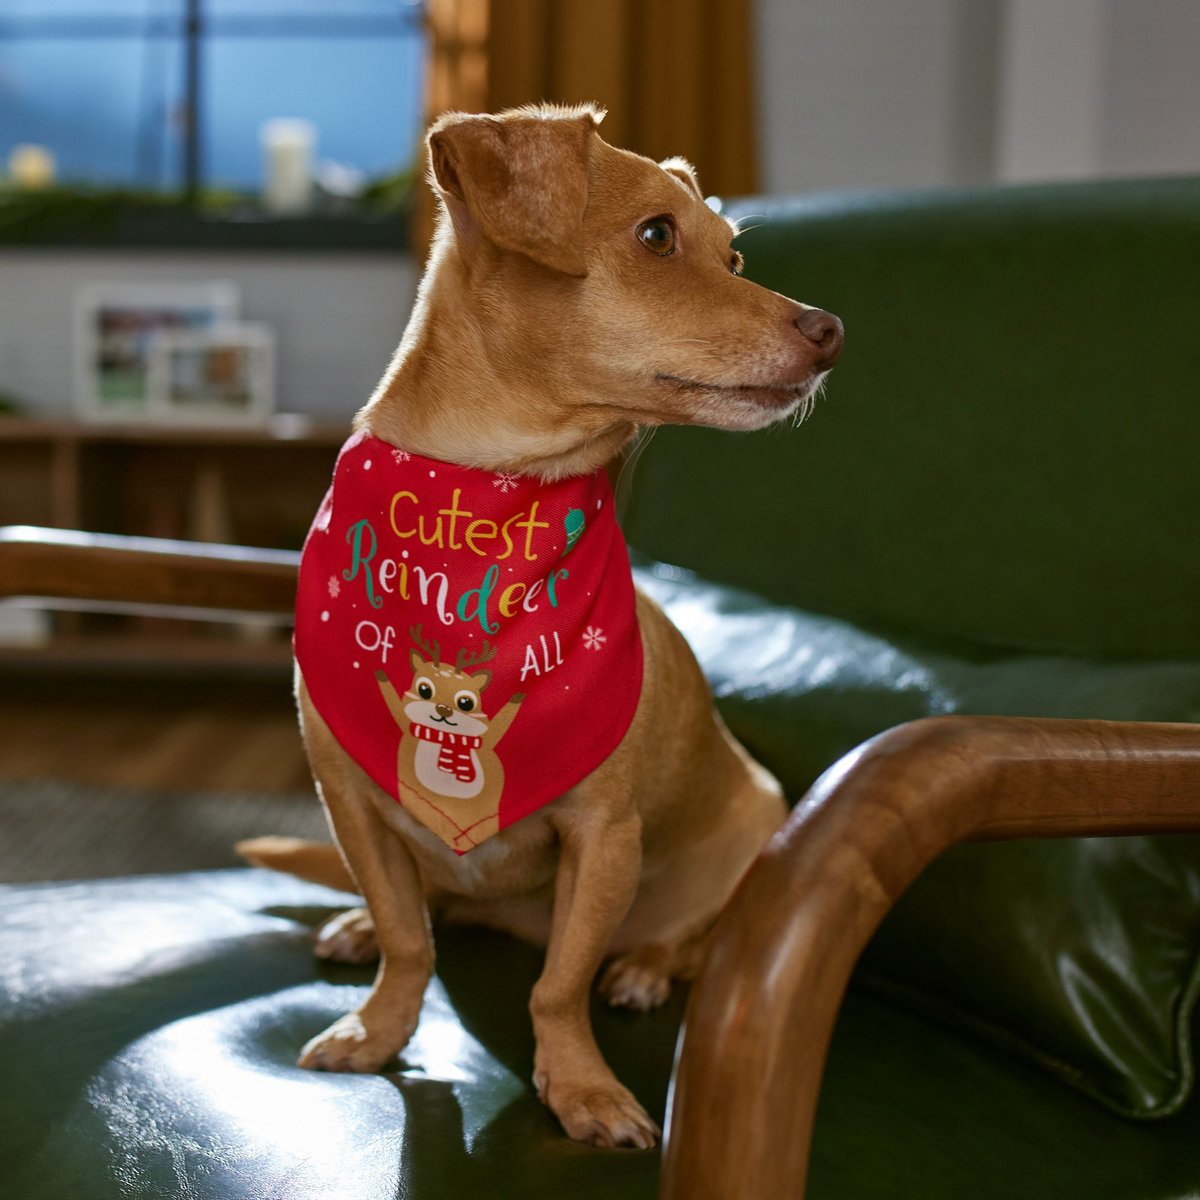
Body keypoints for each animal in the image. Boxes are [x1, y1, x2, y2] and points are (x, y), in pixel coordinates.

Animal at [241, 103, 844, 1152]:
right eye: (658, 236)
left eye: (733, 256)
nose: (832, 331)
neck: (487, 504)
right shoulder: (351, 803)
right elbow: (407, 940)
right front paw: (378, 1026)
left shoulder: (603, 840)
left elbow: (557, 988)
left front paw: (581, 1088)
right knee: (427, 909)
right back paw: (365, 924)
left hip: (752, 824)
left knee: (682, 943)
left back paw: (643, 969)